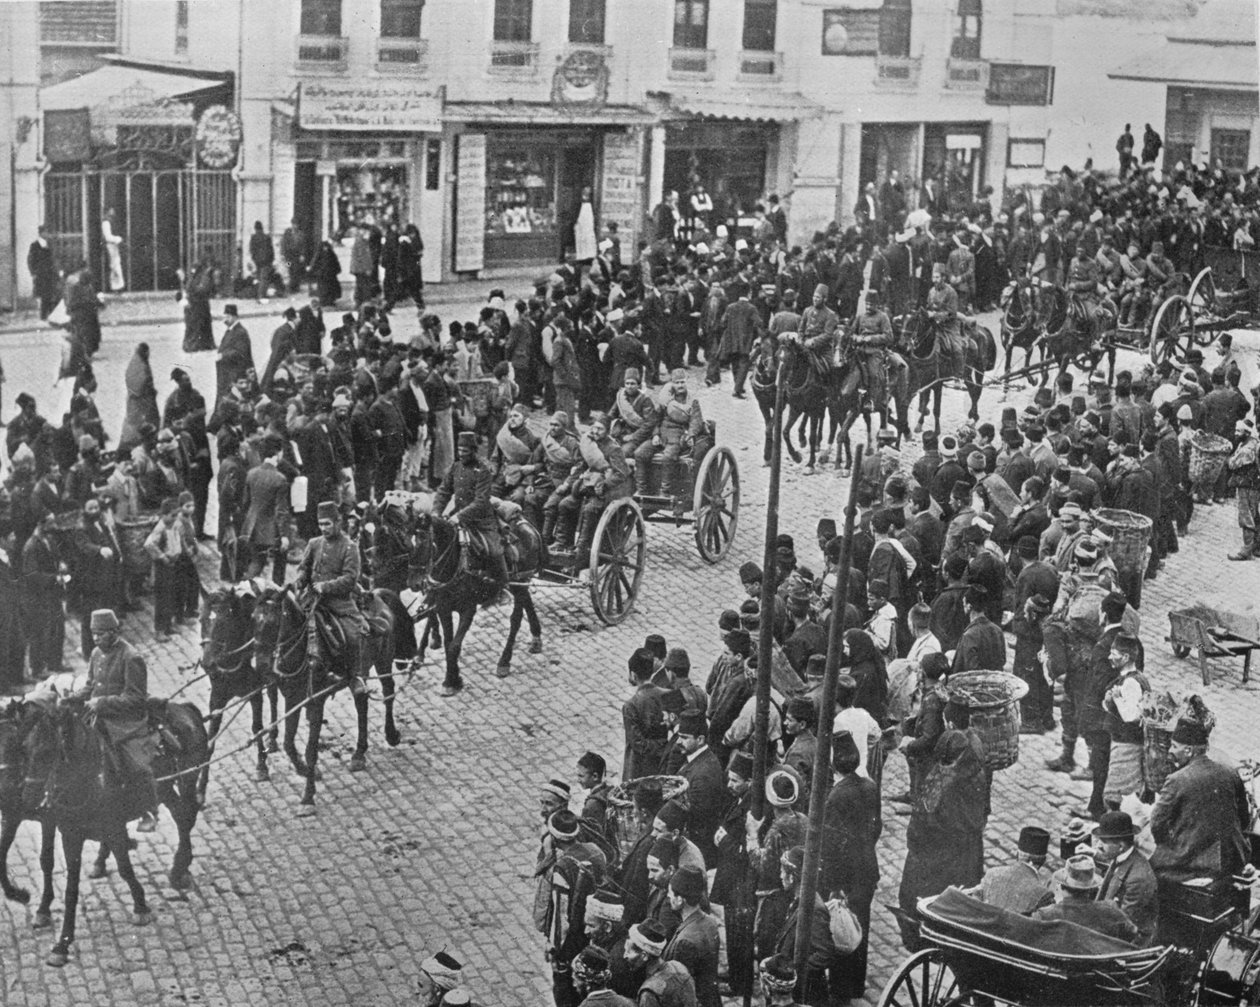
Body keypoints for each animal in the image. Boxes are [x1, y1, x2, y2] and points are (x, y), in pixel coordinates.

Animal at [19, 695, 209, 967]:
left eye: (47, 752)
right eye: (24, 748)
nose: (29, 799)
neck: (88, 774)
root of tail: (185, 708)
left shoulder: (114, 826)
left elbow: (124, 868)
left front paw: (140, 906)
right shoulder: (69, 833)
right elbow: (69, 887)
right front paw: (61, 944)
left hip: (188, 778)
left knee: (186, 817)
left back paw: (179, 868)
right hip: (164, 790)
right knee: (181, 815)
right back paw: (179, 868)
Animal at [199, 587, 278, 791]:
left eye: (224, 621)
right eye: (201, 620)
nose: (207, 663)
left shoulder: (255, 693)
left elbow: (256, 727)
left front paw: (261, 767)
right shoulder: (217, 698)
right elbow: (211, 738)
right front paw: (201, 786)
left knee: (273, 695)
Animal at [265, 587, 408, 816]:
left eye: (271, 621)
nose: (265, 665)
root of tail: (376, 594)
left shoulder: (316, 703)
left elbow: (311, 750)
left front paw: (308, 797)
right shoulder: (292, 700)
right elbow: (288, 743)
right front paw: (304, 770)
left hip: (383, 659)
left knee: (388, 691)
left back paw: (391, 735)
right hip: (361, 670)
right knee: (361, 701)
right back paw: (359, 754)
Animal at [413, 509, 541, 695]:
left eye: (426, 545)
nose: (414, 583)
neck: (458, 563)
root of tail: (528, 525)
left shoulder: (468, 609)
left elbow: (454, 646)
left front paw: (450, 681)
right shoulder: (444, 607)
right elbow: (448, 643)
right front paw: (454, 678)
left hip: (520, 583)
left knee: (516, 619)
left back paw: (504, 662)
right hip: (518, 583)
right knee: (528, 603)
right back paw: (536, 638)